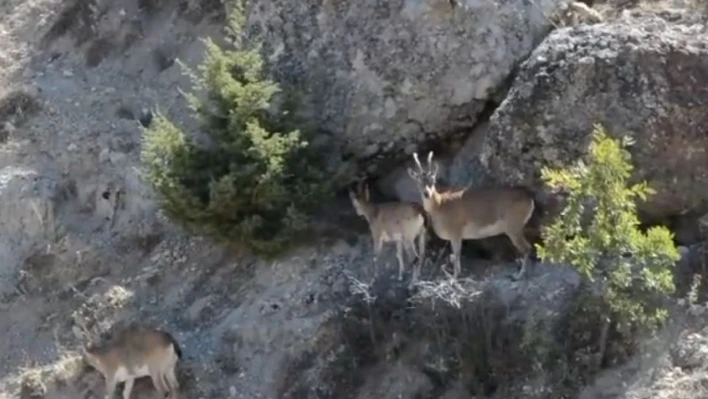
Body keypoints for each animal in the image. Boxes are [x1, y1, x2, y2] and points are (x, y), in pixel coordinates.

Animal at [406, 152, 532, 280]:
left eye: (433, 180)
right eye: (418, 182)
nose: (426, 194)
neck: (440, 205)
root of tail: (529, 198)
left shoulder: (456, 232)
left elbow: (457, 253)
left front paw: (454, 277)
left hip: (513, 227)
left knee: (527, 248)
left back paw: (518, 275)